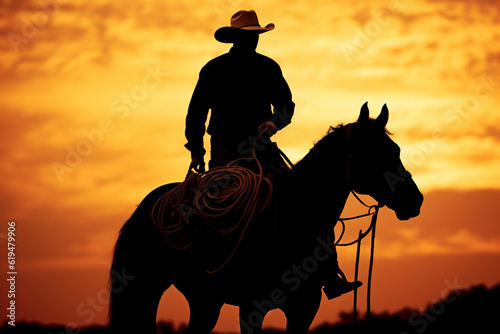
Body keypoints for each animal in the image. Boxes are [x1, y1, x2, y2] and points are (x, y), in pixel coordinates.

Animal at [107, 103, 424, 332]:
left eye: (395, 150)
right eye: (369, 152)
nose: (414, 200)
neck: (295, 215)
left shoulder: (305, 308)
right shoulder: (251, 307)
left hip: (204, 300)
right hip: (148, 287)